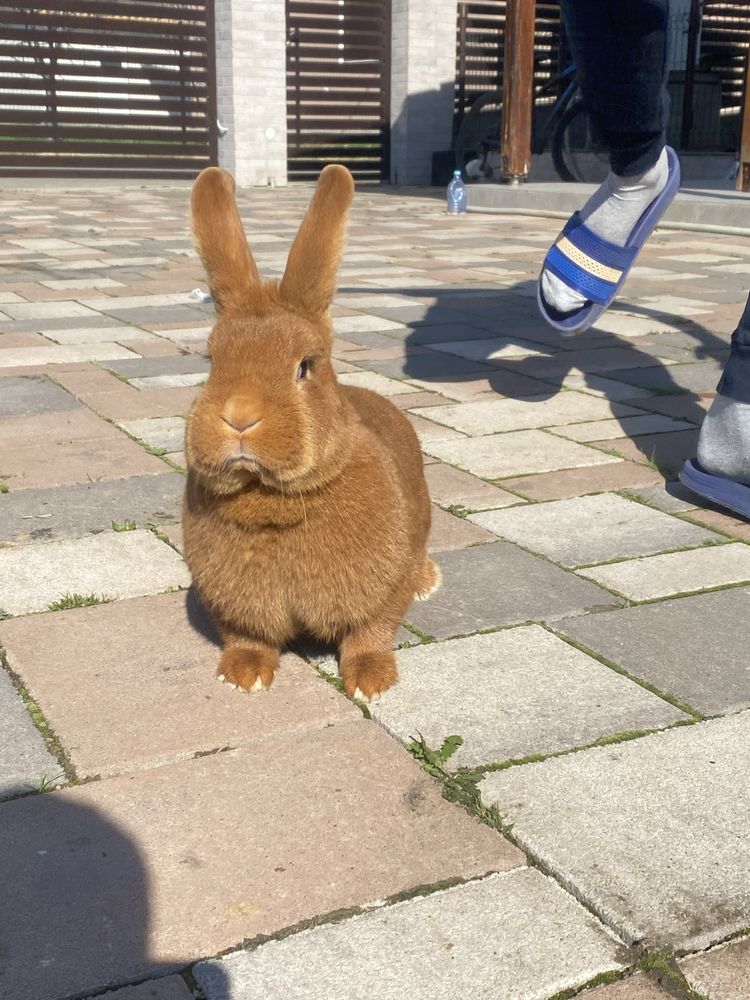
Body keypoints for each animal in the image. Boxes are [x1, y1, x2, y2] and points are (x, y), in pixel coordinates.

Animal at [182, 164, 440, 704]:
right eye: (212, 361)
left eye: (305, 366)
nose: (240, 415)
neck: (272, 500)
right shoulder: (235, 607)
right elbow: (247, 637)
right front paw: (243, 676)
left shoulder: (382, 592)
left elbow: (370, 633)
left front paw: (371, 684)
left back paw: (427, 581)